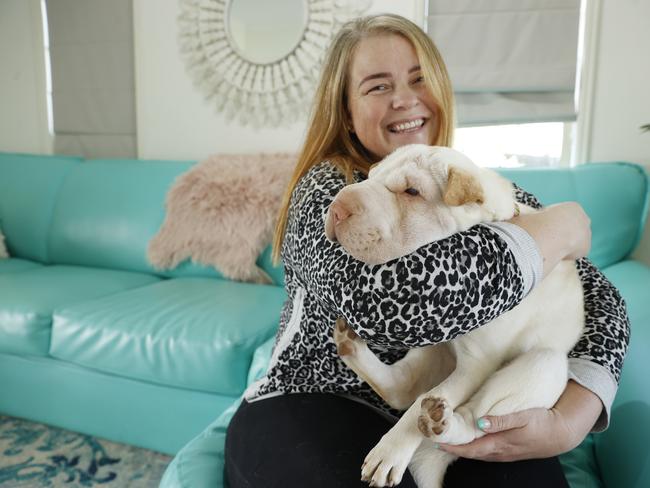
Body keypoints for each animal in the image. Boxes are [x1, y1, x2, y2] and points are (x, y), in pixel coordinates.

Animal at [322, 145, 584, 488]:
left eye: (412, 191)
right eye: (371, 176)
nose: (337, 207)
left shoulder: (477, 364)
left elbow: (431, 399)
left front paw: (391, 451)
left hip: (543, 366)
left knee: (473, 421)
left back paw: (441, 423)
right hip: (434, 348)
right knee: (404, 388)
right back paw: (351, 346)